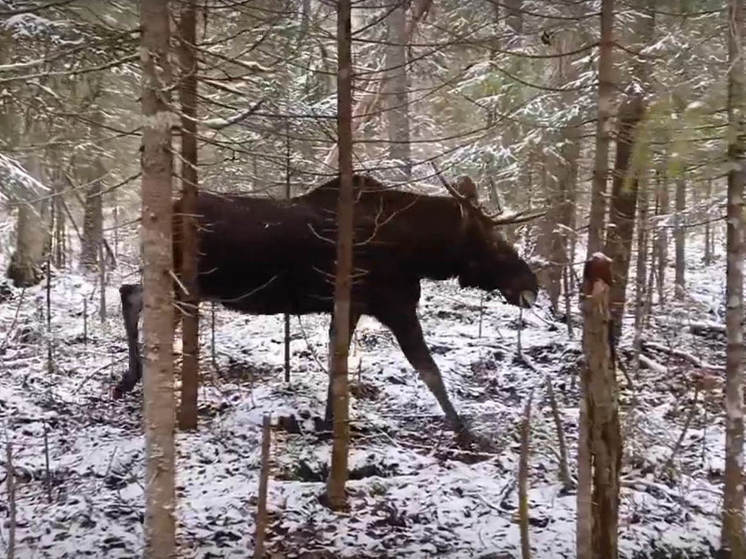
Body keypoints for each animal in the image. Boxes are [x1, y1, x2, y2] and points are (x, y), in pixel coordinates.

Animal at [115, 173, 536, 444]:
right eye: (495, 243)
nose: (530, 283)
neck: (421, 252)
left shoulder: (352, 306)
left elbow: (339, 359)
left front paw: (328, 423)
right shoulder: (394, 305)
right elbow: (429, 370)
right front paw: (467, 433)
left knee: (128, 291)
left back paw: (130, 379)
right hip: (183, 284)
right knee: (131, 295)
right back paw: (133, 378)